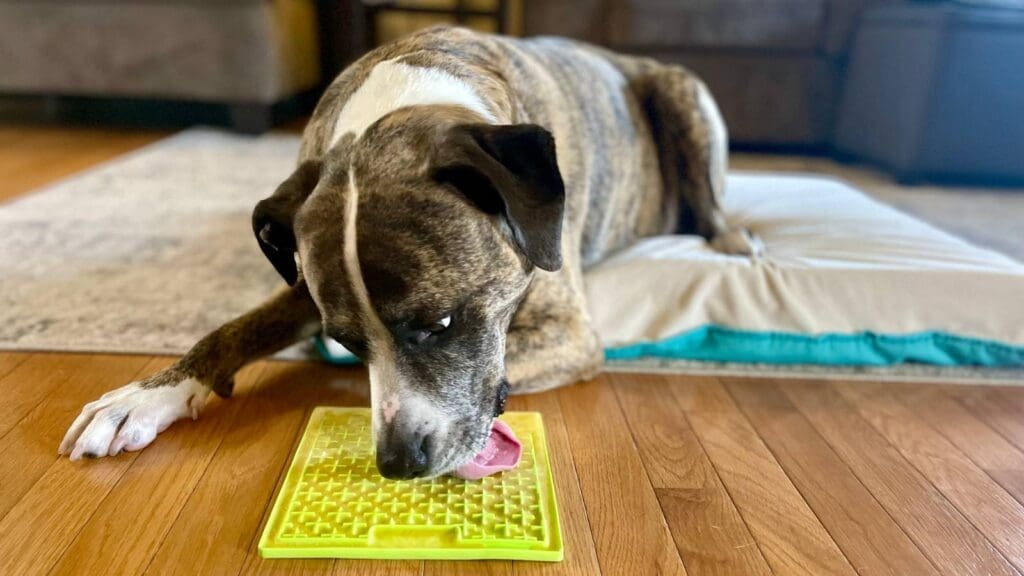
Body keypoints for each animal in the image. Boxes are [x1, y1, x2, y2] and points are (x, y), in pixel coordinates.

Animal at [58, 25, 761, 475]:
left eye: (440, 323)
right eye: (345, 341)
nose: (397, 464)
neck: (402, 103)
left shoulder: (569, 329)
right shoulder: (305, 286)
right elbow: (230, 330)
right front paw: (144, 396)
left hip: (683, 93)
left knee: (713, 200)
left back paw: (733, 240)